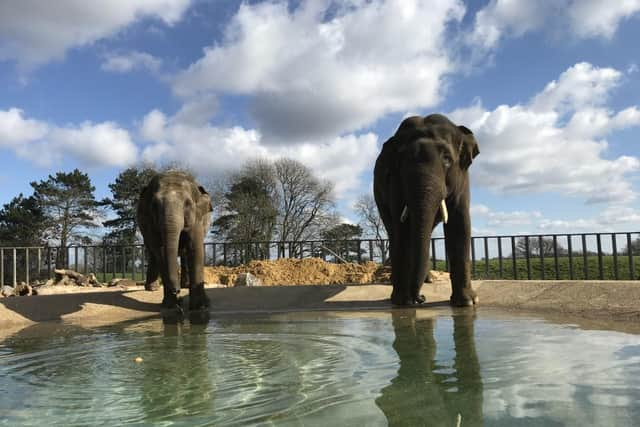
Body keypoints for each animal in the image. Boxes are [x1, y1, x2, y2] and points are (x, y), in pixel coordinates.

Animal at [137, 171, 212, 310]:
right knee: (153, 254)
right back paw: (152, 288)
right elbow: (160, 252)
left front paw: (201, 306)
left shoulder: (197, 218)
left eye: (188, 204)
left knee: (184, 253)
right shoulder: (150, 222)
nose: (176, 291)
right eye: (154, 205)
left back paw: (184, 286)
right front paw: (171, 306)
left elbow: (195, 248)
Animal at [376, 115, 480, 306]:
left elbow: (459, 223)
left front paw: (468, 302)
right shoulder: (395, 180)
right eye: (401, 161)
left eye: (447, 159)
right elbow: (402, 229)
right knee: (394, 232)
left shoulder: (462, 177)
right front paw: (402, 302)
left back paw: (428, 280)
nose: (420, 299)